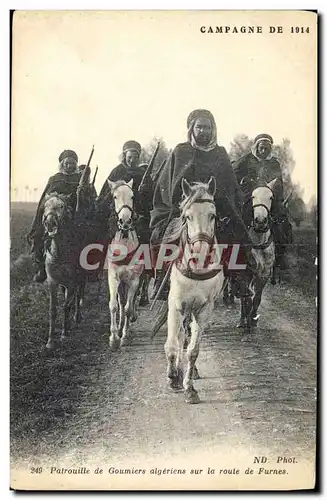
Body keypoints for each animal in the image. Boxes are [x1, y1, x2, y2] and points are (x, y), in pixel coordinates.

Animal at [167, 178, 226, 404]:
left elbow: (193, 350)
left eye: (213, 215)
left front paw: (189, 387)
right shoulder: (175, 306)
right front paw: (173, 377)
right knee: (178, 337)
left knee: (187, 337)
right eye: (187, 216)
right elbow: (172, 344)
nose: (200, 254)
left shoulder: (203, 310)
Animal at [237, 178, 278, 334]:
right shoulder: (245, 273)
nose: (260, 220)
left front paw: (253, 318)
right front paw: (245, 321)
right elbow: (246, 298)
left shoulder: (264, 273)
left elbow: (258, 298)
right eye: (253, 196)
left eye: (270, 197)